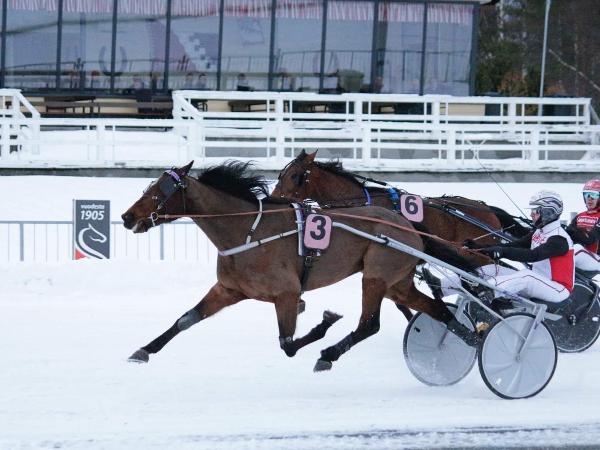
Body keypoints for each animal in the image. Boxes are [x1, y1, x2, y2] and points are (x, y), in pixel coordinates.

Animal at [122, 160, 480, 371]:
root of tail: (409, 226)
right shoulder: (228, 289)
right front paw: (144, 349)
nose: (127, 216)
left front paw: (324, 323)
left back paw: (329, 354)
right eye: (149, 187)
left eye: (160, 192)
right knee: (439, 311)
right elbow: (185, 319)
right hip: (398, 284)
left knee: (369, 325)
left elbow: (288, 344)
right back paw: (469, 339)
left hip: (376, 276)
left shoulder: (286, 293)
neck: (248, 230)